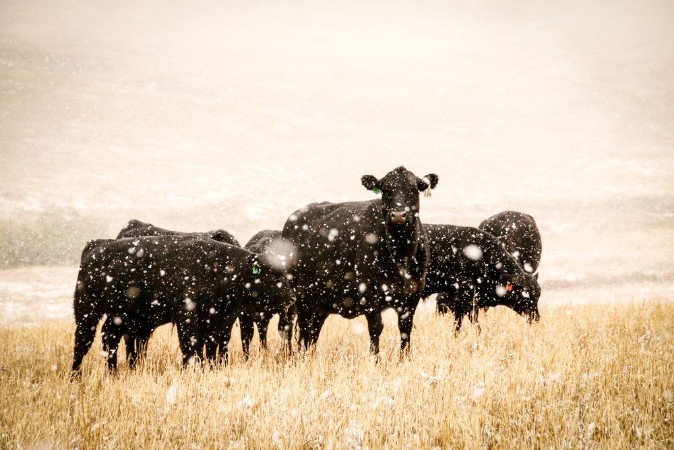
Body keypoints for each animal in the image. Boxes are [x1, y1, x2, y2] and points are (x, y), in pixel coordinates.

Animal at [71, 235, 295, 377]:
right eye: (274, 274)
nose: (292, 298)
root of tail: (96, 246)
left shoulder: (215, 320)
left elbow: (209, 348)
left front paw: (208, 369)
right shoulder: (188, 317)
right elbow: (190, 345)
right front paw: (189, 371)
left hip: (119, 316)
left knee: (109, 338)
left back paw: (113, 373)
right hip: (87, 311)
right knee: (83, 341)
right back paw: (75, 375)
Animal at [282, 166, 439, 356]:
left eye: (414, 189)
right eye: (385, 190)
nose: (398, 215)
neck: (400, 256)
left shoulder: (412, 296)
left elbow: (405, 329)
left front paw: (404, 358)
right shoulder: (370, 294)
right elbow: (376, 328)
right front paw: (375, 359)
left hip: (321, 299)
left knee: (313, 331)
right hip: (300, 295)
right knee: (301, 328)